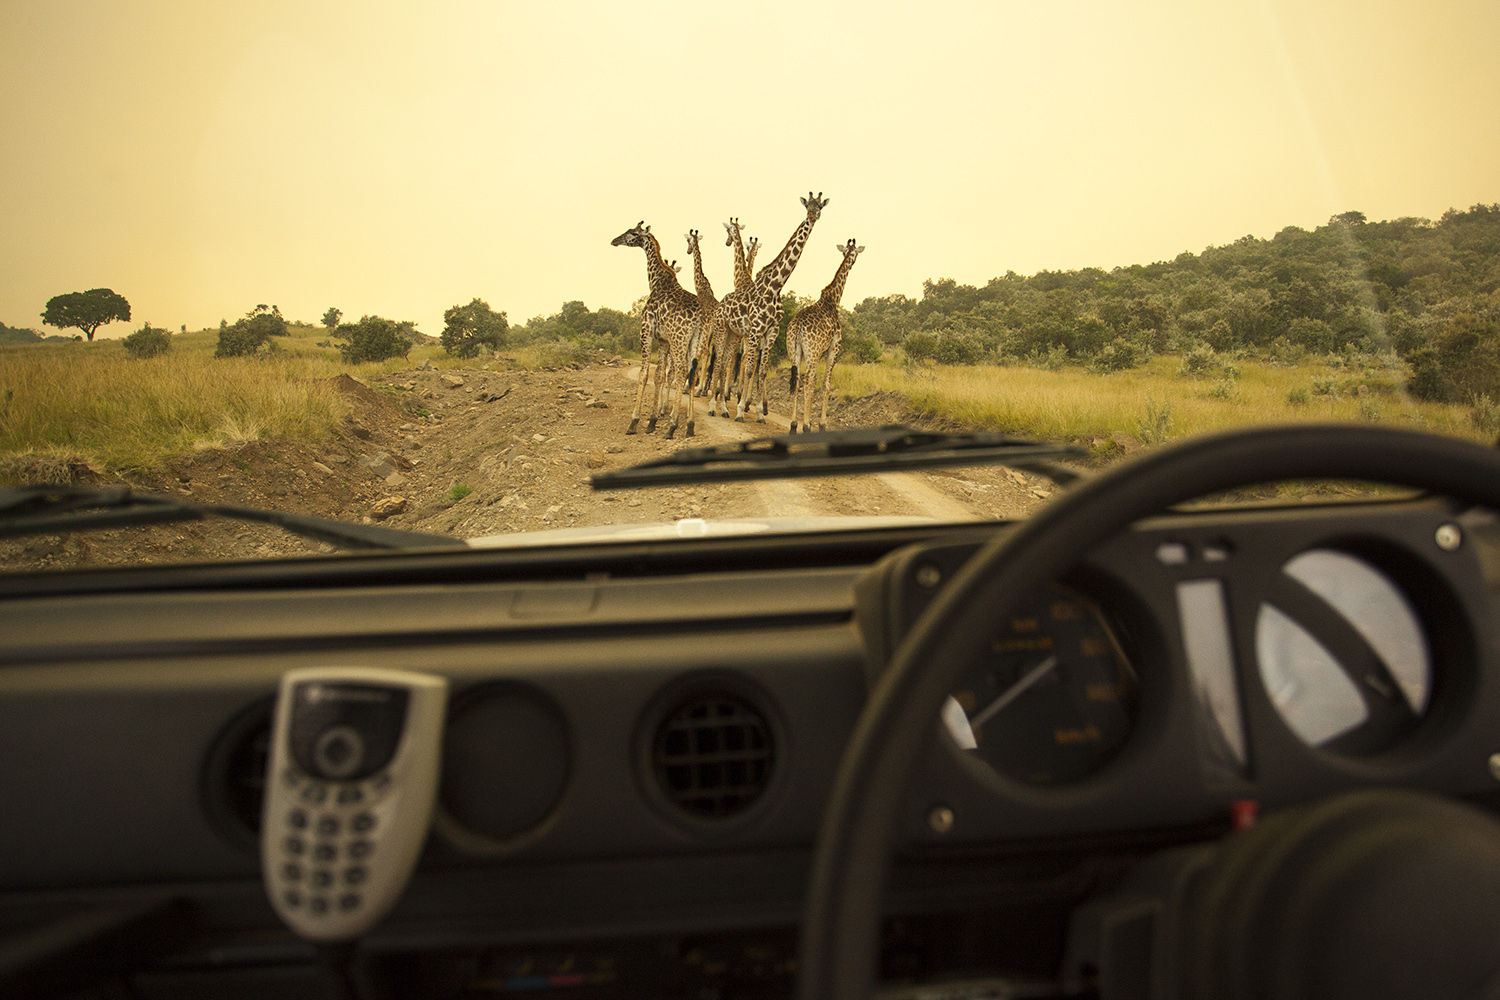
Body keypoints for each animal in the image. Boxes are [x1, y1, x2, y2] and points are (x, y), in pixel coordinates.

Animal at [609, 223, 702, 434]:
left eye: (632, 233)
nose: (614, 240)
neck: (655, 280)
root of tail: (701, 317)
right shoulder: (663, 339)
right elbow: (659, 375)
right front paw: (652, 421)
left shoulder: (646, 330)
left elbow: (644, 374)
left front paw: (634, 421)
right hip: (696, 341)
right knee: (692, 374)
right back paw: (690, 426)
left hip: (679, 339)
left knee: (682, 371)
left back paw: (673, 426)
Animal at [714, 191, 834, 422]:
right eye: (807, 206)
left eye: (820, 206)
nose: (812, 216)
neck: (776, 286)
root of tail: (721, 303)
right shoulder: (754, 330)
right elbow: (749, 368)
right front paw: (741, 409)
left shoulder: (771, 331)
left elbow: (761, 370)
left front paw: (760, 412)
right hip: (723, 329)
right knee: (720, 362)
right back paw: (714, 405)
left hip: (734, 333)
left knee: (725, 362)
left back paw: (723, 406)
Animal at [792, 242, 864, 434]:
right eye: (854, 254)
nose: (853, 262)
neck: (834, 300)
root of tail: (798, 326)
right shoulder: (834, 348)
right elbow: (826, 384)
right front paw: (822, 424)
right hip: (812, 352)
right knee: (808, 380)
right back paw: (805, 426)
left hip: (795, 351)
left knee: (797, 380)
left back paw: (793, 425)